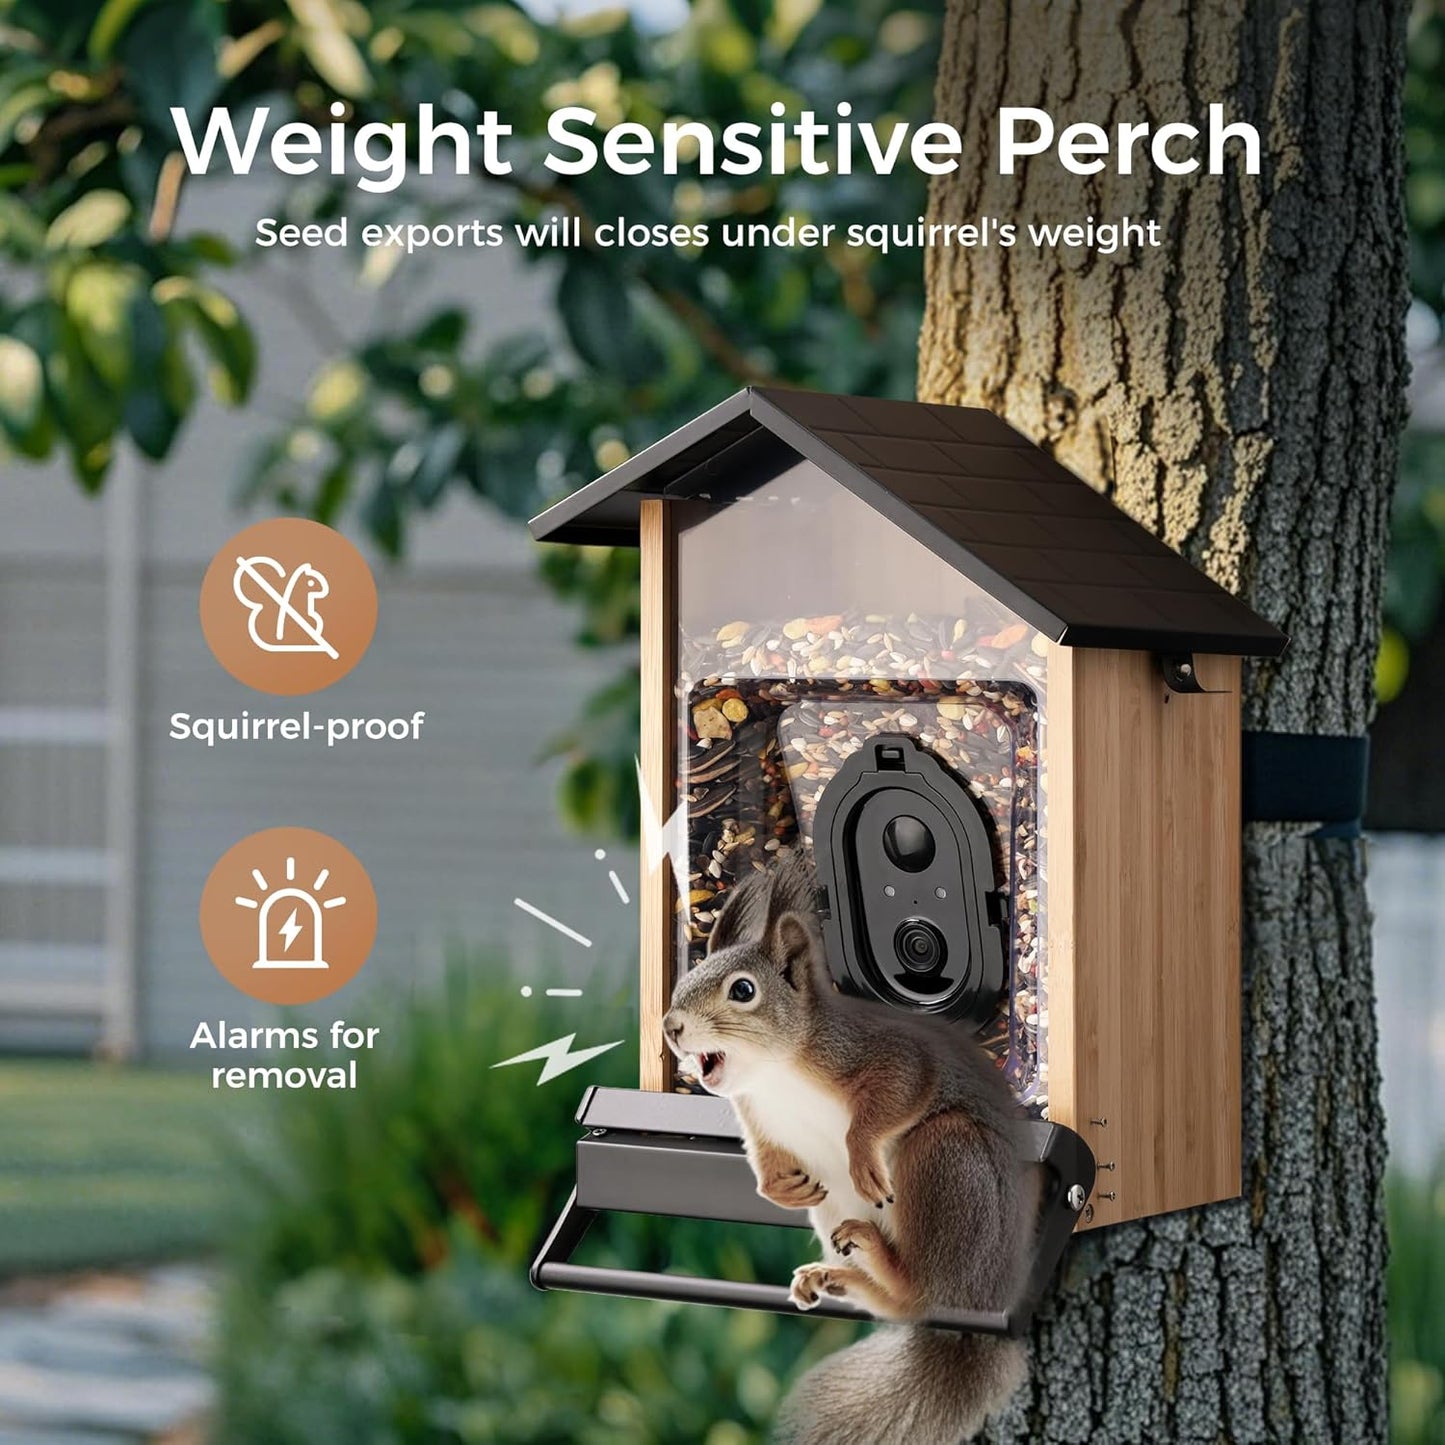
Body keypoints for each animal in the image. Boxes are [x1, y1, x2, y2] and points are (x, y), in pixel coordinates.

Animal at [663, 854, 1037, 1445]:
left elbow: (902, 1088)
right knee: (900, 1303)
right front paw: (781, 1188)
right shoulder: (756, 1113)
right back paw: (837, 1275)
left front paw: (861, 1157)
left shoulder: (878, 1054)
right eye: (684, 982)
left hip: (946, 1156)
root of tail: (981, 1305)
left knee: (923, 1288)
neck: (774, 1075)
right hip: (837, 1209)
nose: (671, 1027)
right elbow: (763, 1155)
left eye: (743, 991)